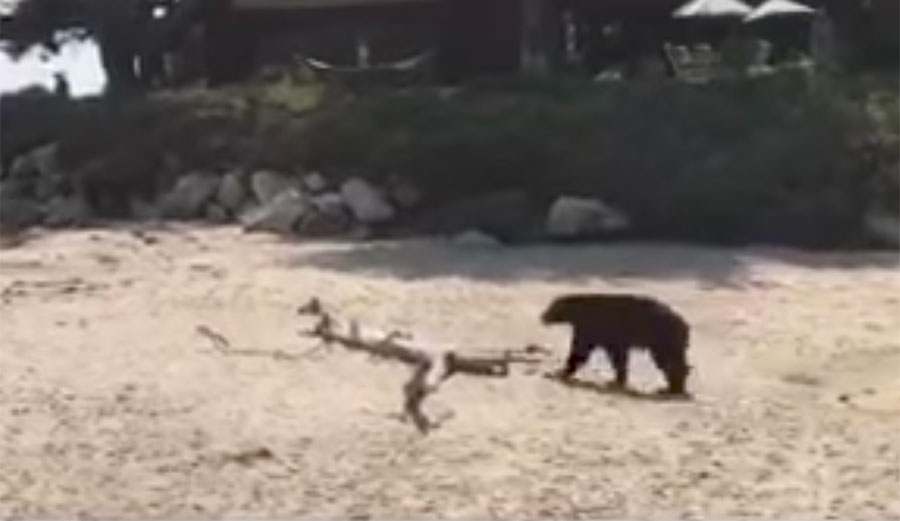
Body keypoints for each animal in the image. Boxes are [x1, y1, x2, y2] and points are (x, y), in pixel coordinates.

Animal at [540, 293, 691, 396]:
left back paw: (673, 388)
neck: (580, 309)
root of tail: (685, 324)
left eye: (551, 306)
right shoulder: (606, 335)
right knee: (670, 361)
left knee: (670, 361)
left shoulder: (591, 326)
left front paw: (558, 372)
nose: (542, 317)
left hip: (663, 338)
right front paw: (618, 380)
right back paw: (673, 387)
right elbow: (616, 355)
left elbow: (580, 351)